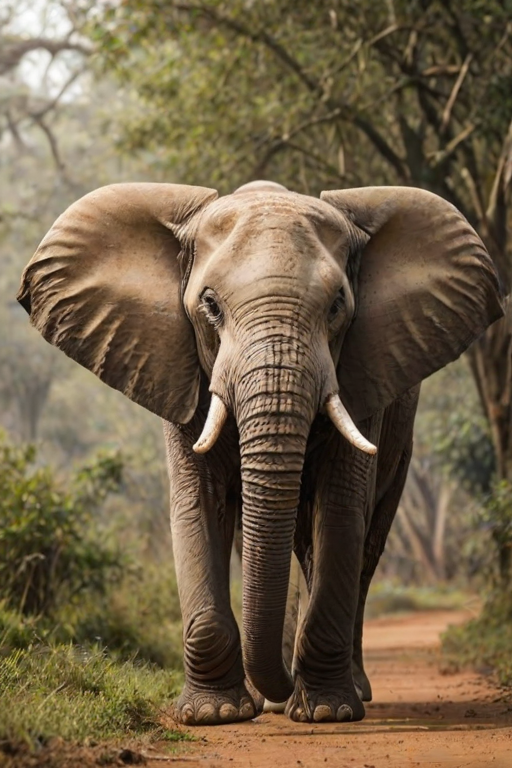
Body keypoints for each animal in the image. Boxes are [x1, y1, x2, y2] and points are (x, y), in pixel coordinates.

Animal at [18, 179, 504, 726]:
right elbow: (198, 505)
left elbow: (341, 508)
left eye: (337, 305)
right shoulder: (179, 369)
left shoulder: (364, 376)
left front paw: (328, 712)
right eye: (210, 305)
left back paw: (339, 692)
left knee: (359, 546)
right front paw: (215, 714)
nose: (282, 688)